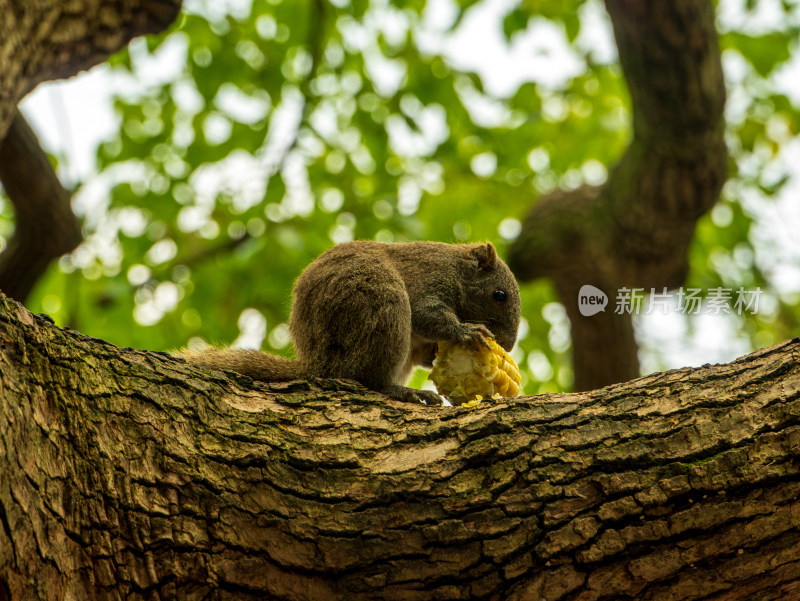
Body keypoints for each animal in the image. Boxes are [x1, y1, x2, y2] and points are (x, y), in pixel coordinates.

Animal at [177, 239, 520, 404]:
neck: (457, 268)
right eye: (499, 295)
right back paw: (404, 392)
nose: (506, 345)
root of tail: (318, 364)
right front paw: (466, 331)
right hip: (382, 307)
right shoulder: (429, 278)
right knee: (370, 381)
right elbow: (426, 314)